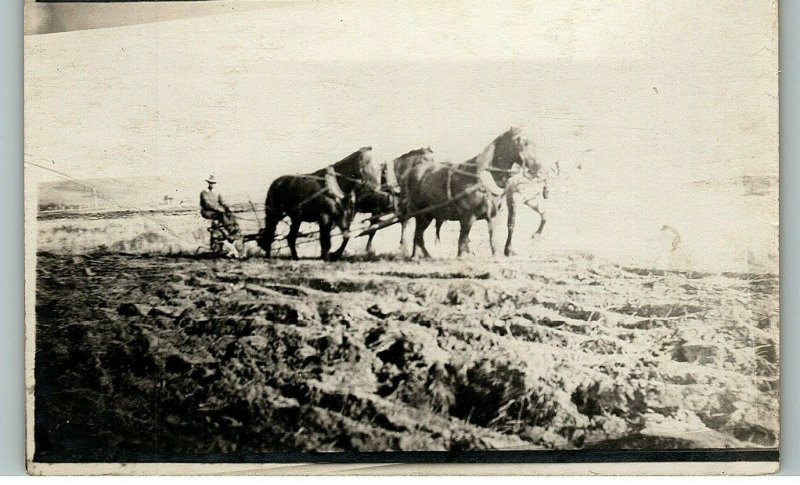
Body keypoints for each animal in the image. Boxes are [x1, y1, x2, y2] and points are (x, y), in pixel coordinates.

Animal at [404, 127, 540, 258]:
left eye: (533, 143)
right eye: (523, 143)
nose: (538, 168)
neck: (482, 179)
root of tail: (413, 172)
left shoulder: (492, 217)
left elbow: (493, 242)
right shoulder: (467, 218)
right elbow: (462, 243)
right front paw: (462, 258)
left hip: (428, 215)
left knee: (418, 237)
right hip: (422, 215)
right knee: (418, 236)